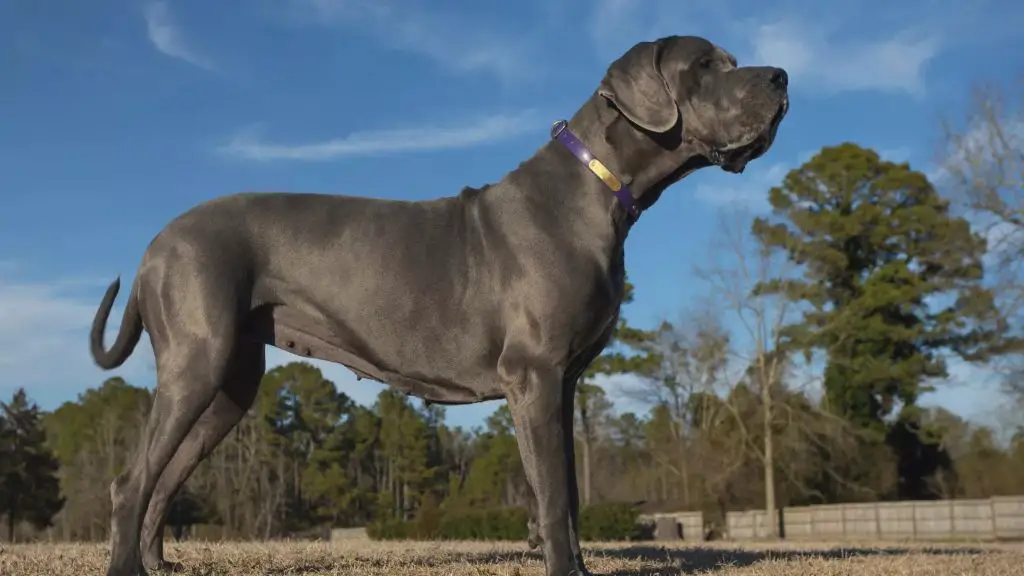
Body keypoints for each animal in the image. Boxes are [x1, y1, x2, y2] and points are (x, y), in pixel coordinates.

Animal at [90, 34, 790, 573]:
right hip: (198, 359)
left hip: (230, 384)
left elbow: (564, 490)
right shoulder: (535, 374)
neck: (599, 186)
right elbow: (552, 498)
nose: (782, 76)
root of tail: (157, 243)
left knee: (164, 479)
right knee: (130, 483)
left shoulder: (563, 383)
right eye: (705, 66)